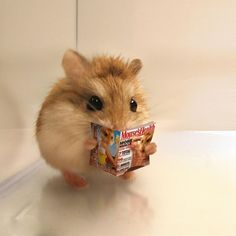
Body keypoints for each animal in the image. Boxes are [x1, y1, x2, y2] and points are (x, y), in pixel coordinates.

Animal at [35, 49, 157, 188]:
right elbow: (81, 144)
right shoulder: (64, 139)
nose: (120, 128)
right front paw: (92, 142)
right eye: (94, 102)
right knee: (64, 169)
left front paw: (150, 147)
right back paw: (80, 184)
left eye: (134, 104)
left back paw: (129, 176)